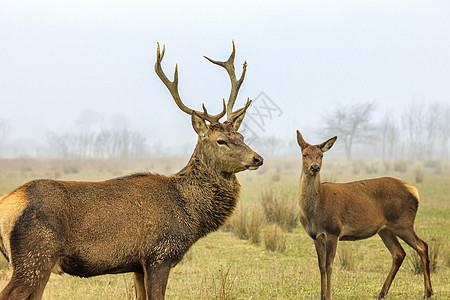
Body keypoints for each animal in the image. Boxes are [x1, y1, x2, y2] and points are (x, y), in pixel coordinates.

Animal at [0, 42, 262, 300]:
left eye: (241, 136)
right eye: (221, 141)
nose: (257, 158)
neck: (190, 212)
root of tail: (7, 204)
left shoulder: (137, 265)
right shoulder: (158, 255)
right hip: (35, 256)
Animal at [296, 131, 432, 300]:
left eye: (321, 155)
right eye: (304, 154)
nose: (315, 167)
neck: (314, 210)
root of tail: (415, 191)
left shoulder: (333, 231)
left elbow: (329, 266)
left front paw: (328, 296)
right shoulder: (316, 236)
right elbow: (321, 266)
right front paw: (322, 296)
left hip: (403, 223)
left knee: (422, 246)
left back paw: (428, 292)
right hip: (385, 229)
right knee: (399, 253)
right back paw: (382, 293)